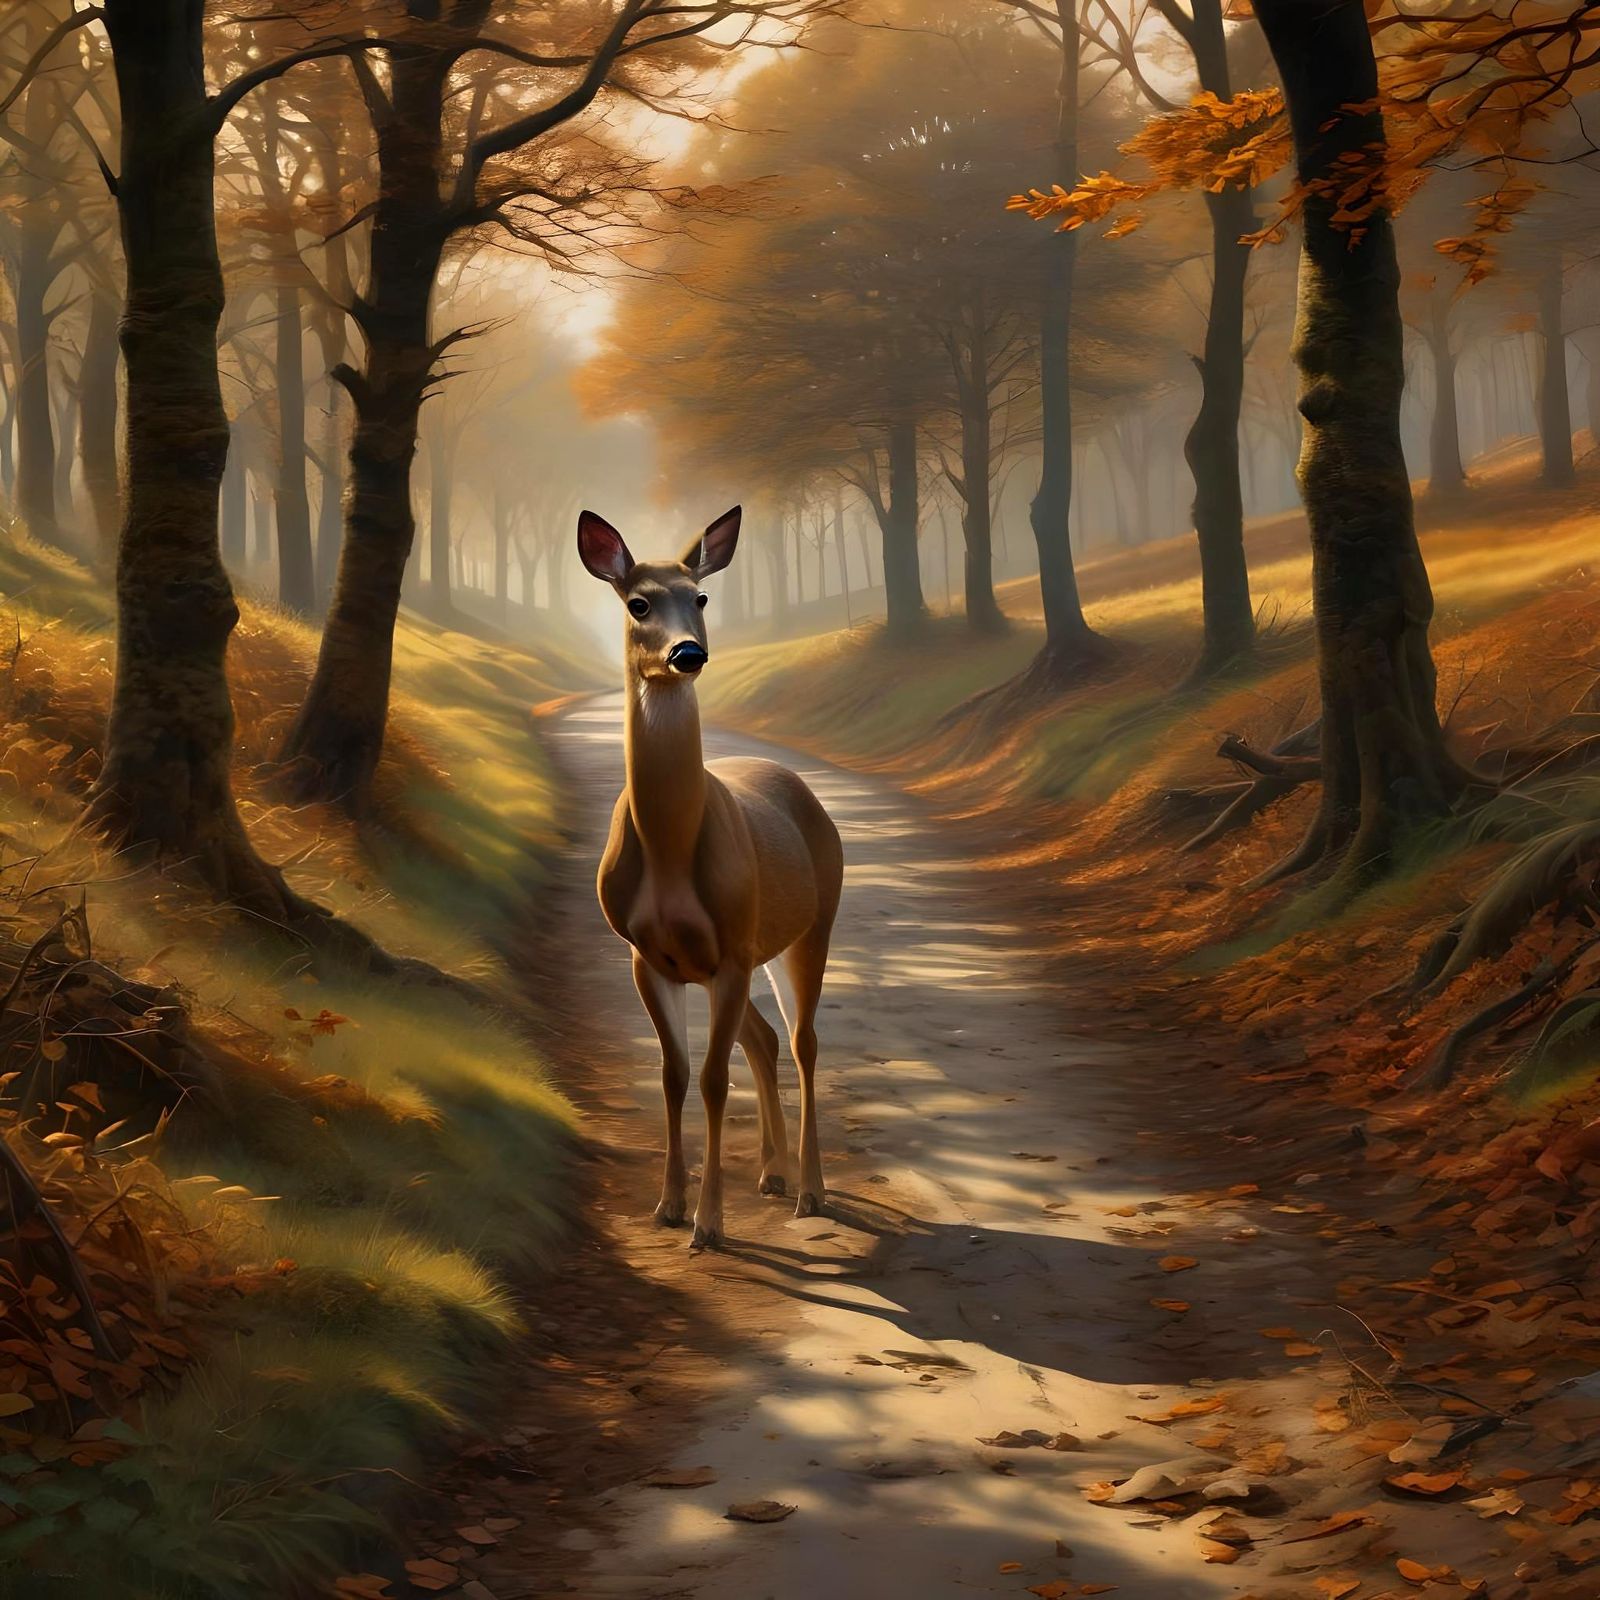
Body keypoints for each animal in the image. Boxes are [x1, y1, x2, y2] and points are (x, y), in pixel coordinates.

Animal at [577, 506, 844, 1251]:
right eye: (638, 602)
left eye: (699, 597)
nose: (687, 654)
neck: (670, 858)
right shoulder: (647, 954)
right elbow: (673, 1075)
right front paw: (667, 1206)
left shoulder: (729, 946)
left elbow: (713, 1079)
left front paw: (709, 1223)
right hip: (752, 950)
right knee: (764, 1036)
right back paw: (774, 1174)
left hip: (810, 923)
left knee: (803, 1041)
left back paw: (810, 1190)